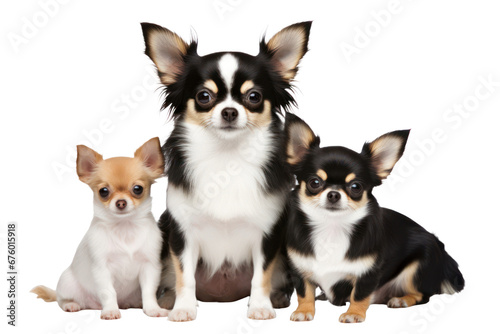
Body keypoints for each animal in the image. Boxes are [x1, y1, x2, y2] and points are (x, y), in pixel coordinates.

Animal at [31, 138, 168, 318]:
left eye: (138, 189)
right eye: (103, 191)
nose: (121, 202)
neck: (124, 227)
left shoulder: (150, 266)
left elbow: (149, 291)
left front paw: (152, 309)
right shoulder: (102, 269)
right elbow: (108, 292)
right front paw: (110, 311)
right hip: (67, 283)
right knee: (61, 300)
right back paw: (72, 305)